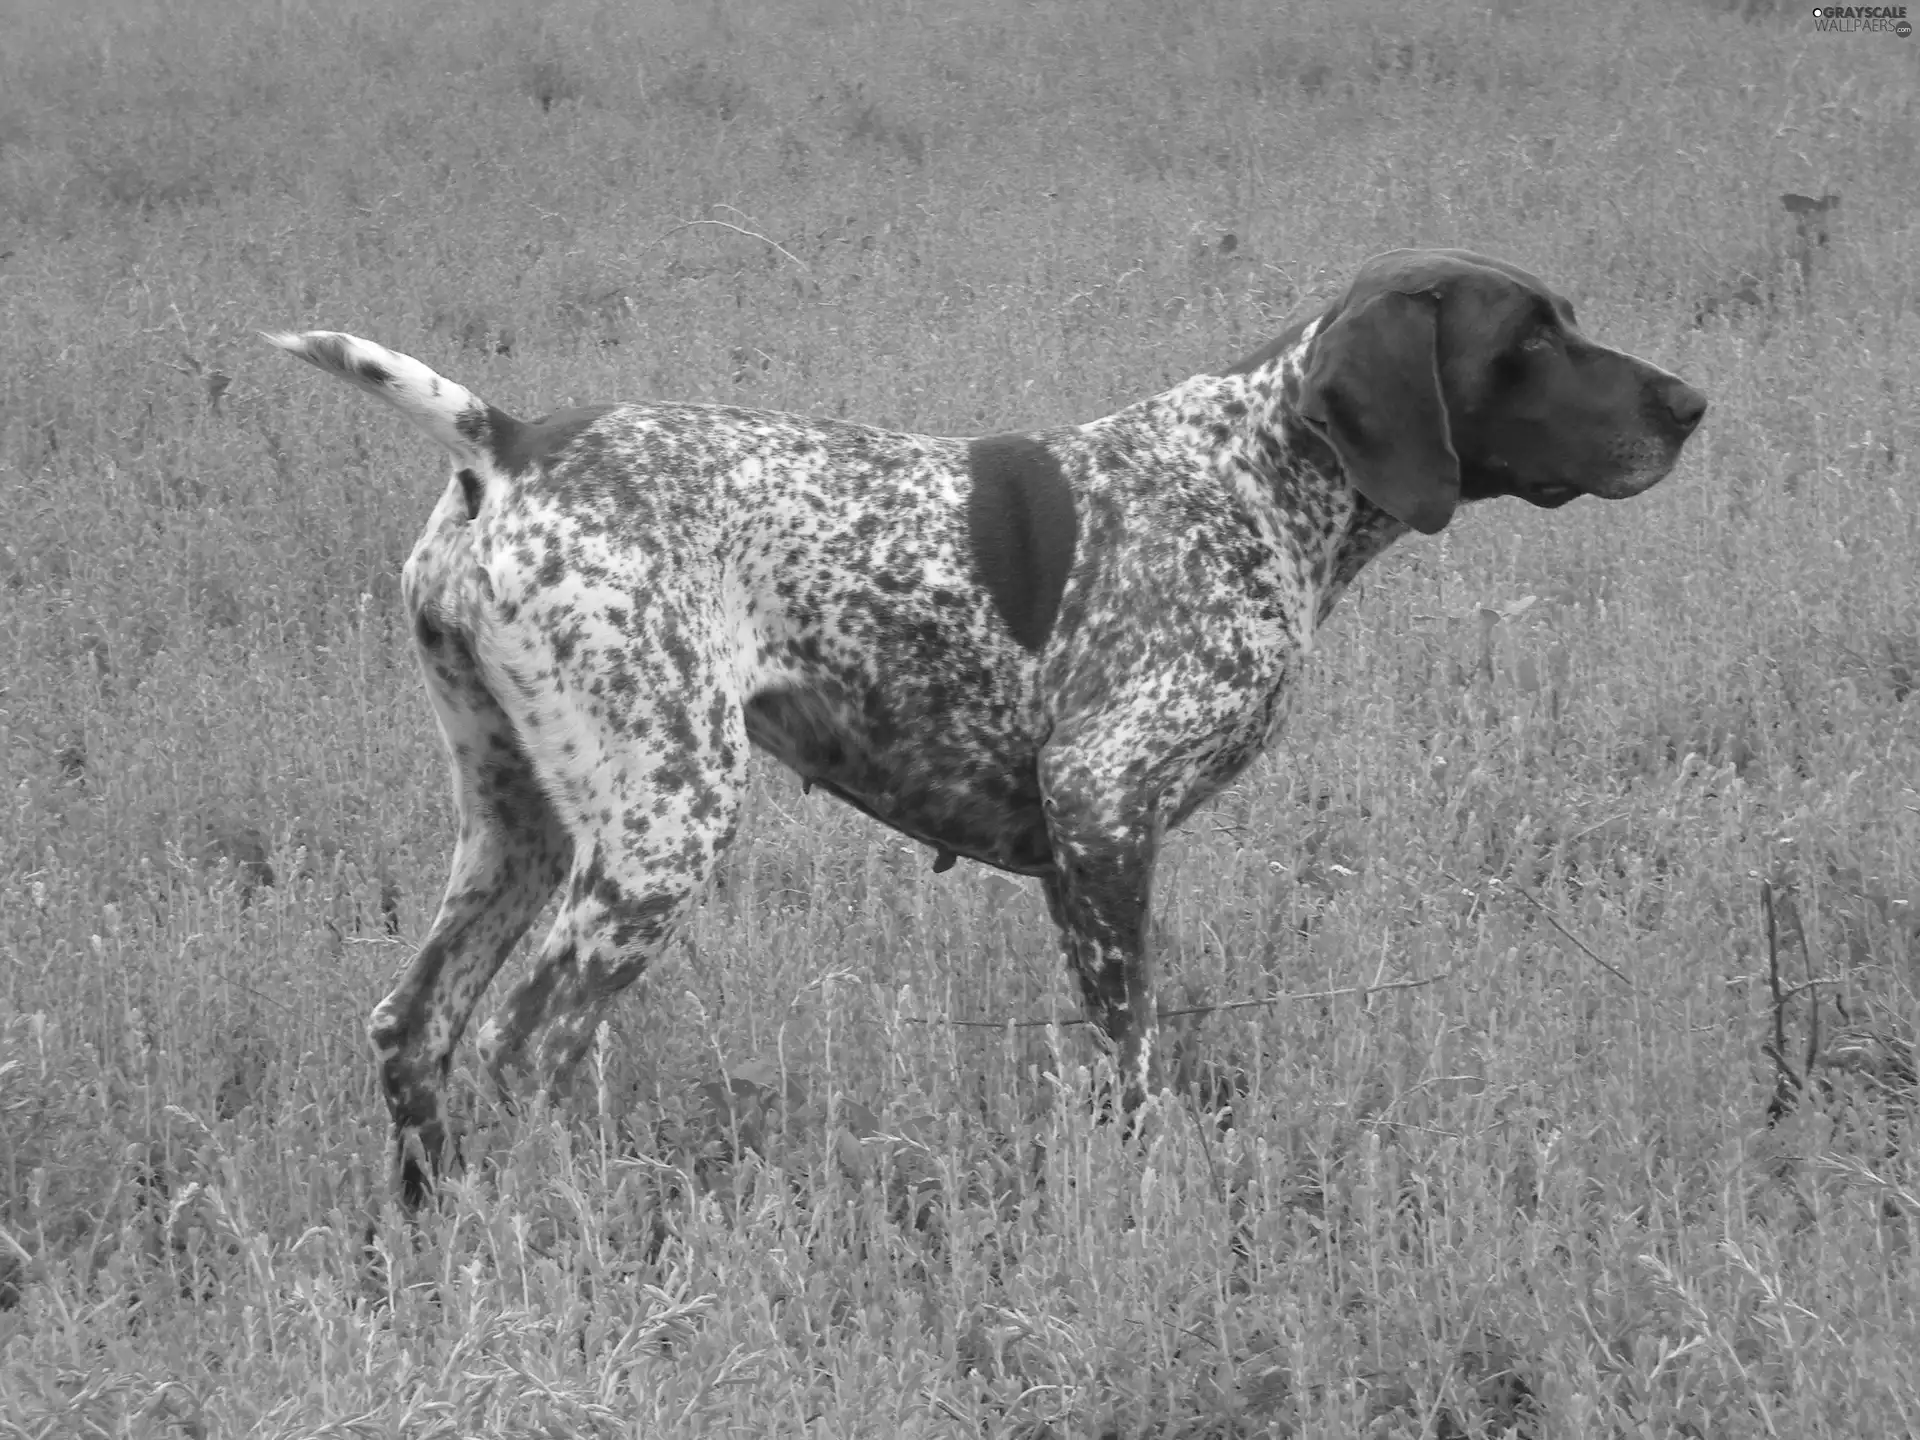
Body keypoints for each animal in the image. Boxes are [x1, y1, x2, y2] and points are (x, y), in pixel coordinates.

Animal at [259, 247, 1712, 1205]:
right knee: (527, 1048)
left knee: (414, 1030)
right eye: (1528, 342)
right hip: (663, 822)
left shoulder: (1083, 843)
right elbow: (1132, 1053)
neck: (1249, 479)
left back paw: (440, 1242)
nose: (1692, 405)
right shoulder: (1104, 810)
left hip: (519, 826)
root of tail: (506, 445)